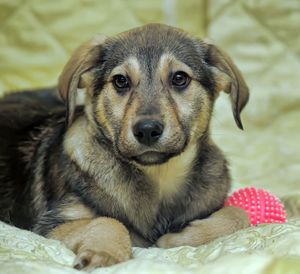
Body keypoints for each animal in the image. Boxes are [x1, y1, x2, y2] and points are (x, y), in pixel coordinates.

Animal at [0, 24, 250, 270]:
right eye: (121, 81)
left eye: (180, 78)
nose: (147, 130)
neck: (159, 179)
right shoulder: (51, 224)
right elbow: (108, 220)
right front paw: (104, 254)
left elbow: (240, 213)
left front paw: (178, 238)